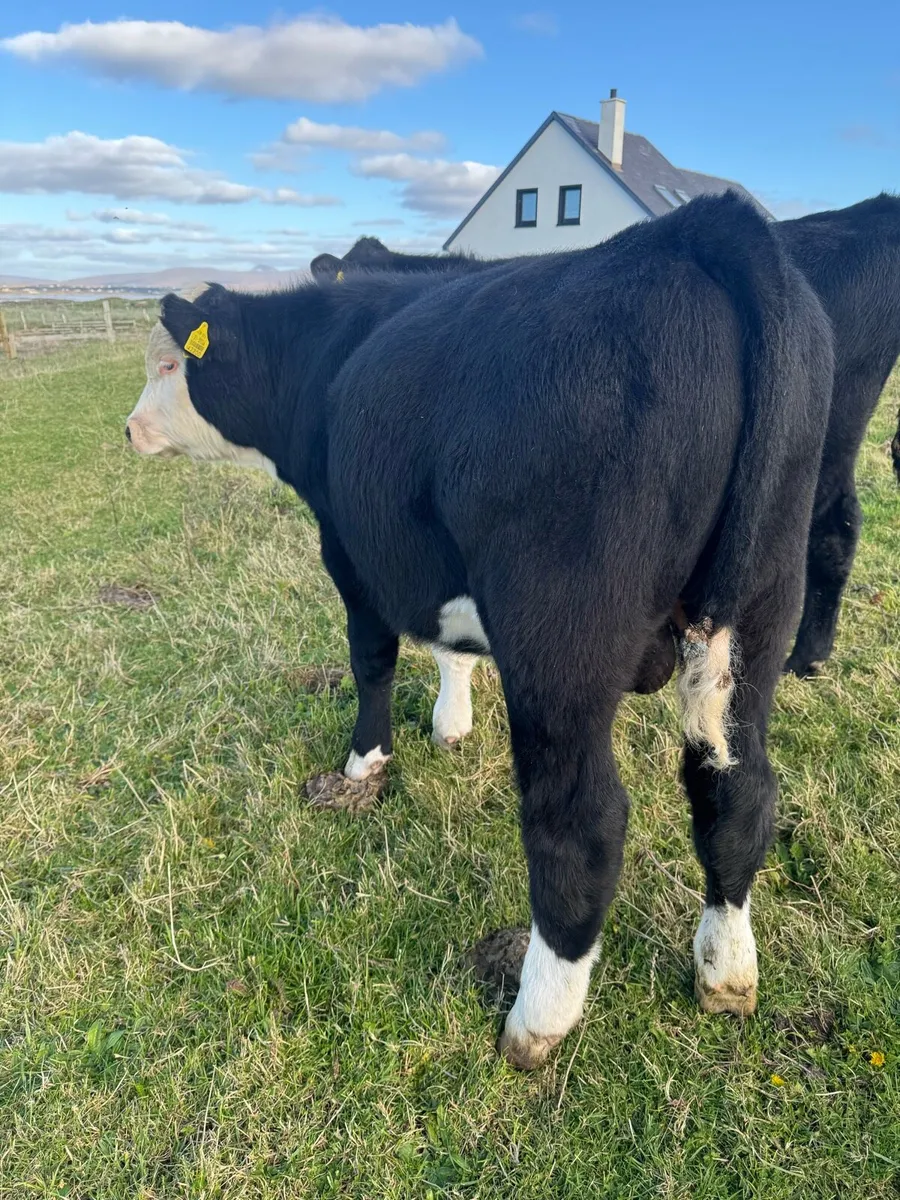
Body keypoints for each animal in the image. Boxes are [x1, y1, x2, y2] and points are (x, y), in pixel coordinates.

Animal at [126, 193, 833, 1068]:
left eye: (166, 368)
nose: (129, 429)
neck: (326, 355)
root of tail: (703, 227)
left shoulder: (353, 547)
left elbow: (372, 659)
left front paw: (363, 764)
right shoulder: (430, 556)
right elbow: (451, 649)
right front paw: (453, 723)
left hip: (560, 635)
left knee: (581, 823)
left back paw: (538, 1018)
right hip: (758, 607)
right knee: (737, 789)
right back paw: (727, 973)